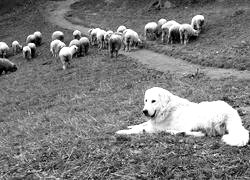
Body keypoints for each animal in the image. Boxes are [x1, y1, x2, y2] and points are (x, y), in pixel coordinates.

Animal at [116, 86, 249, 147]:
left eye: (153, 101)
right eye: (146, 100)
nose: (144, 111)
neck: (166, 108)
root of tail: (231, 112)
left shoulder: (155, 128)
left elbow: (140, 129)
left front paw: (121, 131)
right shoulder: (152, 123)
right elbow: (140, 124)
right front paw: (130, 126)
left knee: (199, 133)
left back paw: (173, 132)